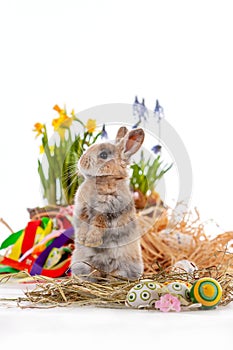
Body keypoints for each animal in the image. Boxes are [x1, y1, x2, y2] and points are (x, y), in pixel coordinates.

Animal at [71, 127, 144, 280]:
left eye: (103, 155)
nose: (81, 161)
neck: (103, 179)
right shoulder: (82, 209)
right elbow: (83, 224)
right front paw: (82, 239)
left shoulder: (108, 210)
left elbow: (98, 224)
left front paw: (92, 241)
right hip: (82, 264)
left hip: (123, 267)